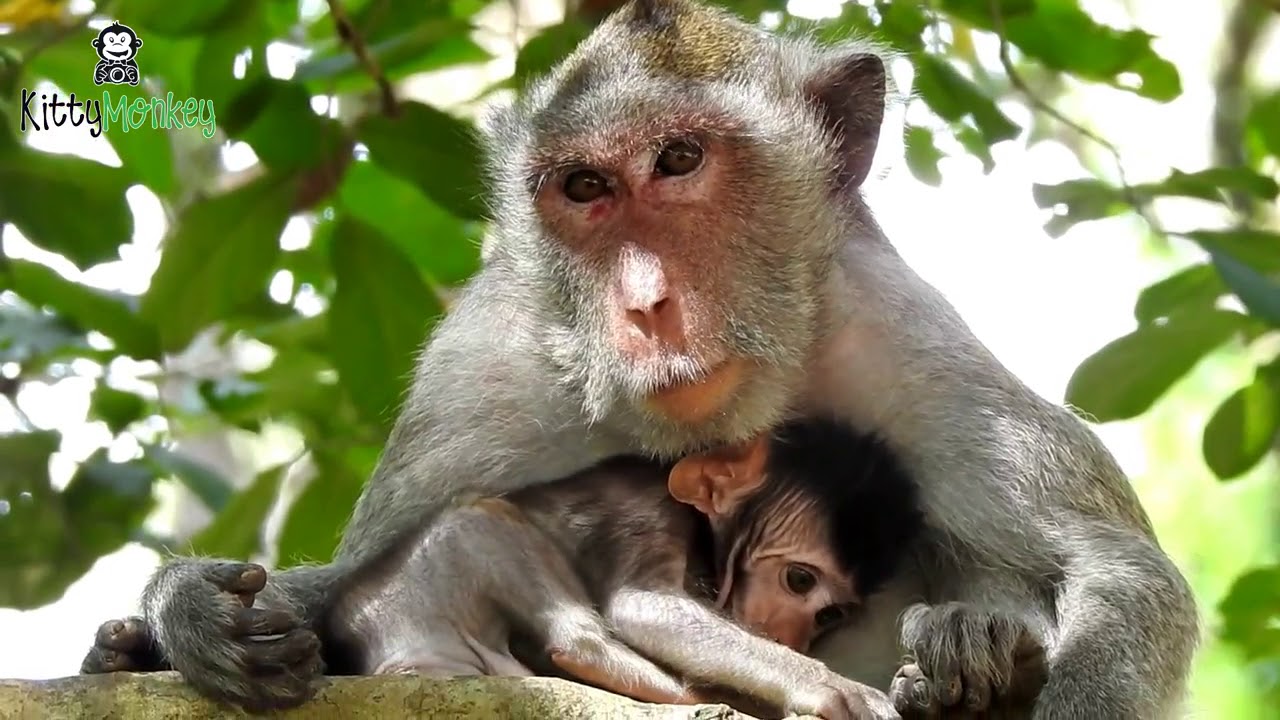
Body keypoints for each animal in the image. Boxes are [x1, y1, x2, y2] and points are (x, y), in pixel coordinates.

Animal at [89, 1, 1198, 717]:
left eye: (679, 160)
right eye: (583, 186)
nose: (643, 302)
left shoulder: (906, 344)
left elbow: (1121, 578)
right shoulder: (483, 377)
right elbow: (363, 570)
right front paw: (193, 615)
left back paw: (975, 659)